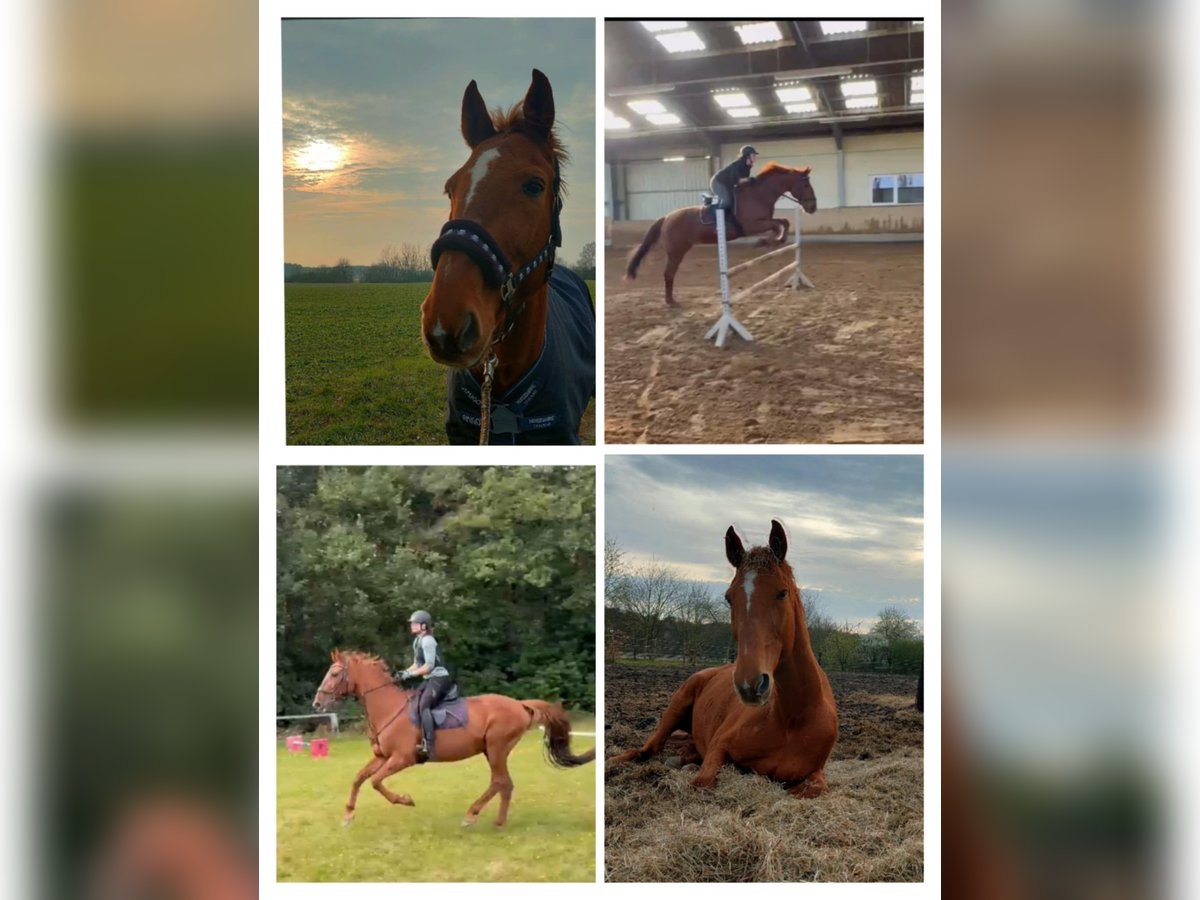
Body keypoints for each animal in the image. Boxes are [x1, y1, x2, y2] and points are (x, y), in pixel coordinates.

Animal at [309, 652, 590, 830]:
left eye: (335, 674)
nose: (317, 703)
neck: (388, 708)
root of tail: (520, 705)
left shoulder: (402, 758)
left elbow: (376, 782)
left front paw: (406, 800)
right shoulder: (382, 756)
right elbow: (358, 779)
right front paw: (348, 816)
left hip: (496, 749)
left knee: (500, 782)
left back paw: (472, 816)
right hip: (492, 751)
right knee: (504, 784)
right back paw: (497, 821)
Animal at [609, 518, 835, 801]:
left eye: (782, 593)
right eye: (729, 598)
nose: (750, 684)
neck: (793, 717)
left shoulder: (817, 773)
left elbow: (813, 788)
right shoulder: (720, 745)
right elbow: (702, 781)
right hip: (676, 707)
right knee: (644, 750)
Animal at [624, 166, 820, 309]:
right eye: (805, 186)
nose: (812, 208)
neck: (759, 195)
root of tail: (666, 218)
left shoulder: (763, 222)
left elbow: (784, 222)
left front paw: (772, 241)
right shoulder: (752, 226)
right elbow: (779, 224)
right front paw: (764, 242)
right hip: (676, 251)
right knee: (668, 273)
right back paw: (671, 302)